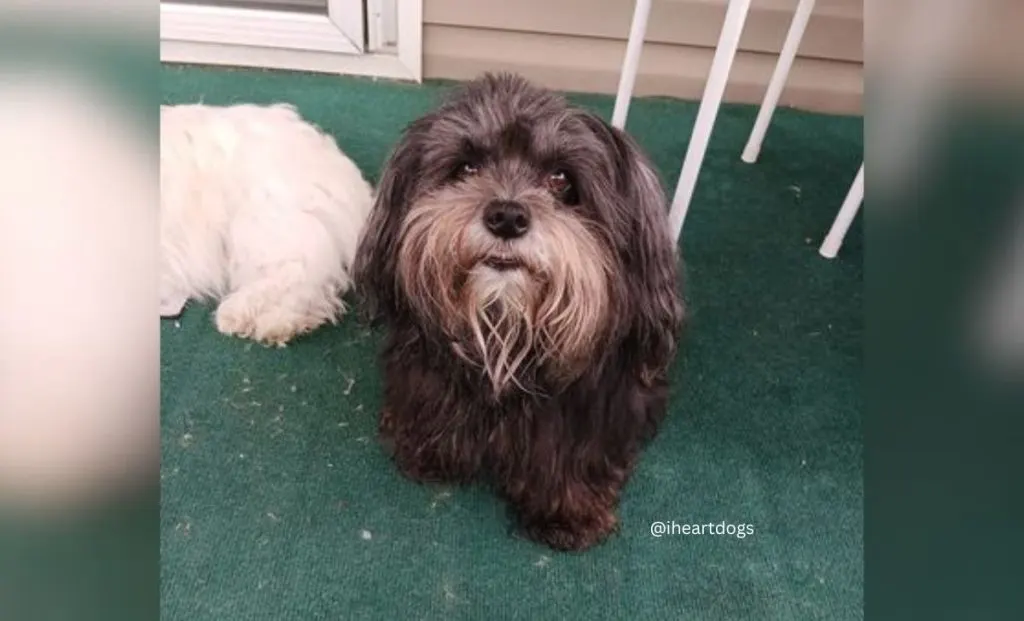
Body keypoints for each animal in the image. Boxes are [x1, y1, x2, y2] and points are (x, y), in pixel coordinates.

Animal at [356, 72, 684, 553]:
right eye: (467, 168)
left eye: (560, 179)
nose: (507, 216)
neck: (505, 326)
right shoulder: (427, 371)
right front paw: (430, 449)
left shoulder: (589, 405)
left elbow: (573, 453)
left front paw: (566, 510)